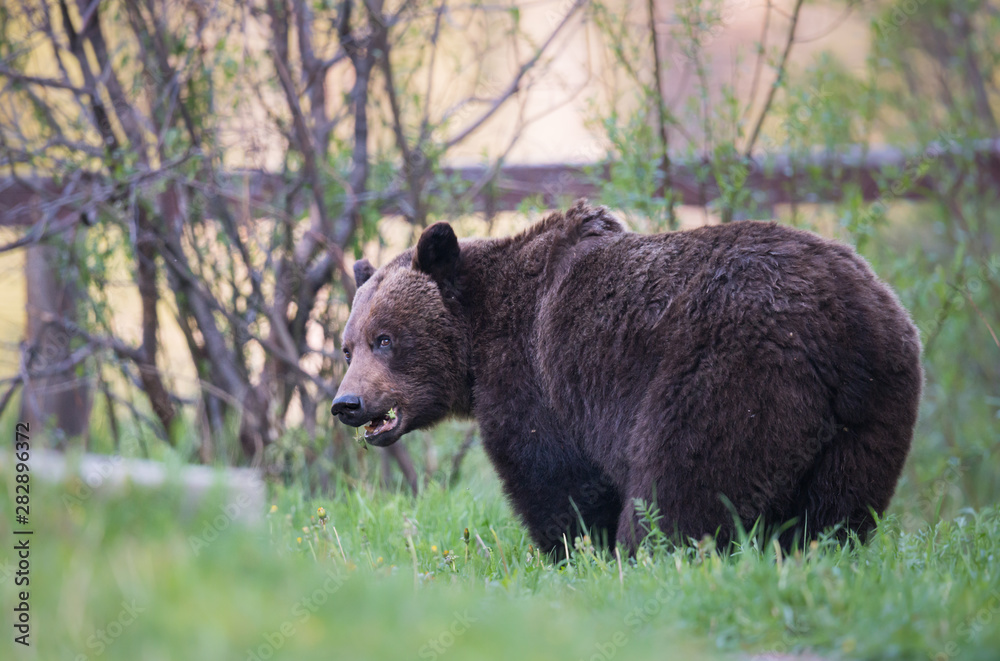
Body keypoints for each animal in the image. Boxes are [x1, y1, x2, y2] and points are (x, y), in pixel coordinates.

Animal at [331, 201, 922, 553]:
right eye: (348, 345)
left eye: (386, 338)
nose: (347, 404)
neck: (479, 334)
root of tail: (845, 325)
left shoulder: (535, 378)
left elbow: (553, 475)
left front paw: (575, 550)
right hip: (872, 415)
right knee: (836, 509)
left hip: (727, 374)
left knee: (683, 480)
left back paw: (650, 554)